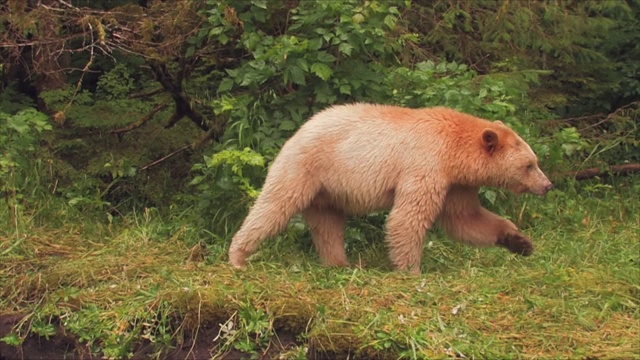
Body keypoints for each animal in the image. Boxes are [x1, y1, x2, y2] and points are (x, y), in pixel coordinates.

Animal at [228, 104, 552, 272]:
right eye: (529, 165)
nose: (547, 185)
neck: (454, 151)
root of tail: (298, 130)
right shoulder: (425, 164)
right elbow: (408, 218)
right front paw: (411, 270)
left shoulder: (456, 183)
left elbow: (466, 219)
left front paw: (520, 242)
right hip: (305, 168)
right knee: (274, 206)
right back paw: (238, 256)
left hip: (326, 191)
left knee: (328, 225)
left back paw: (339, 263)